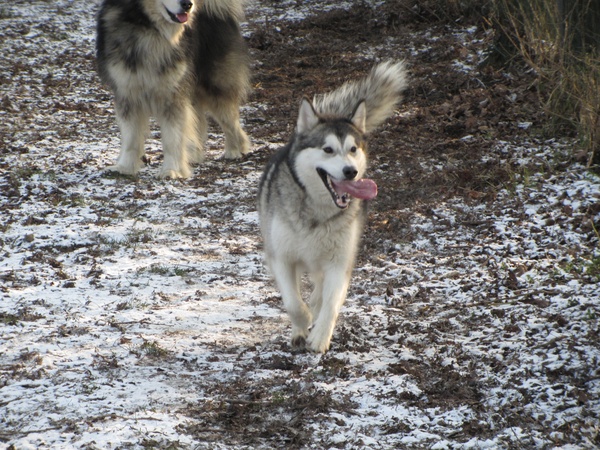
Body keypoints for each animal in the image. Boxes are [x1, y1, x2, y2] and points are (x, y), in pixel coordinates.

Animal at [96, 0, 251, 179]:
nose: (187, 5)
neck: (149, 29)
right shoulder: (127, 93)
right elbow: (131, 137)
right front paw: (125, 167)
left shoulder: (172, 96)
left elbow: (172, 138)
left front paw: (172, 170)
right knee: (199, 121)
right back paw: (194, 155)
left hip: (215, 88)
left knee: (230, 122)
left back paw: (235, 149)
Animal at [258, 61, 408, 353]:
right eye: (327, 149)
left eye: (353, 149)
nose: (350, 172)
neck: (317, 209)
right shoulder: (281, 257)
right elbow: (293, 303)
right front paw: (302, 323)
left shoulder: (340, 261)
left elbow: (331, 302)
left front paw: (319, 335)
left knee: (320, 289)